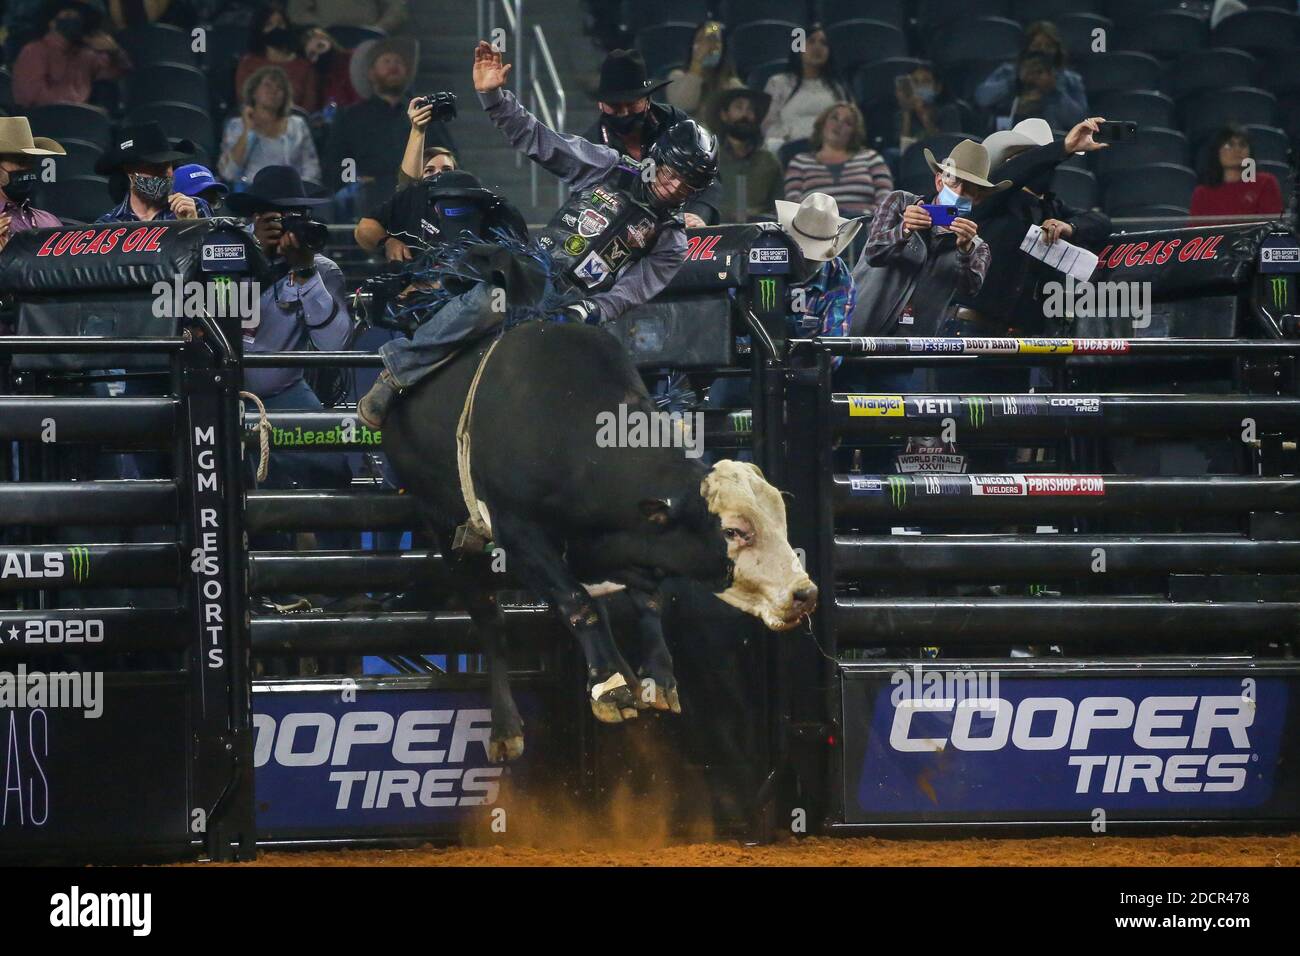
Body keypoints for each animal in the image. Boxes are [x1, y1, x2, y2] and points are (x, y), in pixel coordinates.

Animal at [382, 319, 817, 761]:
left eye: (780, 520)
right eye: (732, 531)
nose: (805, 594)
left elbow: (646, 601)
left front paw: (656, 679)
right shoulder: (519, 533)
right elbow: (577, 603)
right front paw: (611, 691)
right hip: (444, 526)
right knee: (490, 620)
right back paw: (508, 727)